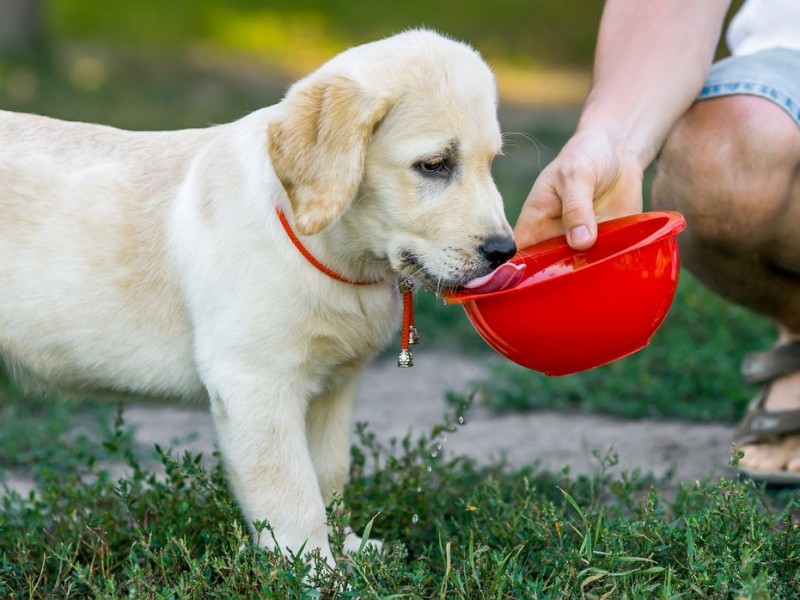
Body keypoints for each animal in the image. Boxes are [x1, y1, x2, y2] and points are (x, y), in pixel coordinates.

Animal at [0, 28, 516, 564]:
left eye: (491, 163)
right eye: (435, 165)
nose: (505, 251)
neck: (334, 254)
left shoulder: (333, 387)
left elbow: (329, 475)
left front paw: (349, 547)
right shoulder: (254, 383)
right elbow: (291, 492)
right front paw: (314, 569)